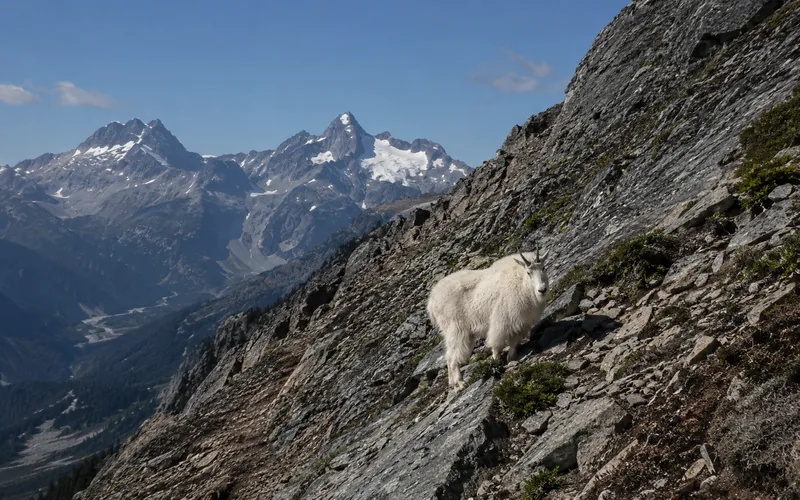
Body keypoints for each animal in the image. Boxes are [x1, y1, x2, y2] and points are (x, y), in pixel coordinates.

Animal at [426, 246, 550, 390]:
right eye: (529, 272)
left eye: (543, 268)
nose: (542, 290)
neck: (522, 282)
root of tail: (431, 303)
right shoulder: (502, 319)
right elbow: (497, 343)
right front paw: (495, 362)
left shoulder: (521, 322)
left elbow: (514, 342)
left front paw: (511, 358)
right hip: (455, 329)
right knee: (453, 357)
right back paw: (460, 383)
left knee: (448, 355)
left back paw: (452, 384)